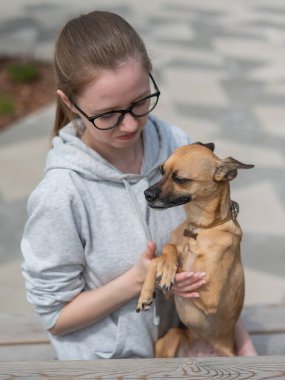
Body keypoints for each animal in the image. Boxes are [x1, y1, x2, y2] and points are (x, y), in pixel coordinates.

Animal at [136, 142, 253, 356]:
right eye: (162, 170)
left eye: (180, 179)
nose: (147, 194)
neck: (200, 229)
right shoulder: (172, 291)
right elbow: (165, 251)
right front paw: (147, 292)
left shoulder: (209, 296)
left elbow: (173, 256)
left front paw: (167, 271)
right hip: (172, 338)